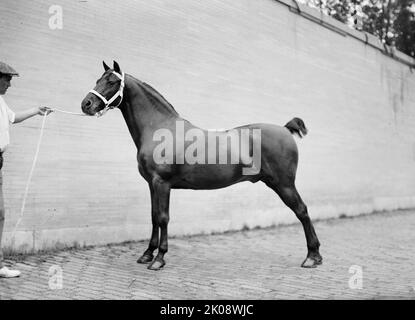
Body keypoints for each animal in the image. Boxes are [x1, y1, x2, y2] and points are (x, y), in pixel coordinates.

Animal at [80, 60, 322, 270]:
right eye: (98, 79)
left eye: (112, 81)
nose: (86, 104)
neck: (159, 129)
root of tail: (285, 129)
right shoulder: (151, 184)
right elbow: (153, 216)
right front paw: (147, 254)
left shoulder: (162, 184)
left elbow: (163, 217)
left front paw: (159, 259)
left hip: (284, 184)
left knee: (302, 211)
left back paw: (312, 257)